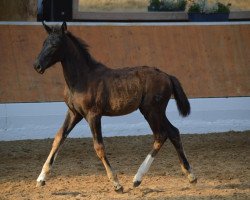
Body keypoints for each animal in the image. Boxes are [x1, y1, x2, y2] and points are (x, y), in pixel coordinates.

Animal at [33, 21, 197, 192]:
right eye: (44, 43)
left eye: (55, 45)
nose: (37, 66)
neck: (82, 79)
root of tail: (167, 76)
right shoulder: (74, 113)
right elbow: (59, 138)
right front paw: (41, 179)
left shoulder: (93, 115)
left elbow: (99, 147)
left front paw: (116, 184)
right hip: (155, 112)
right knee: (173, 132)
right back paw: (190, 176)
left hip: (152, 111)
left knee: (161, 135)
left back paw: (137, 178)